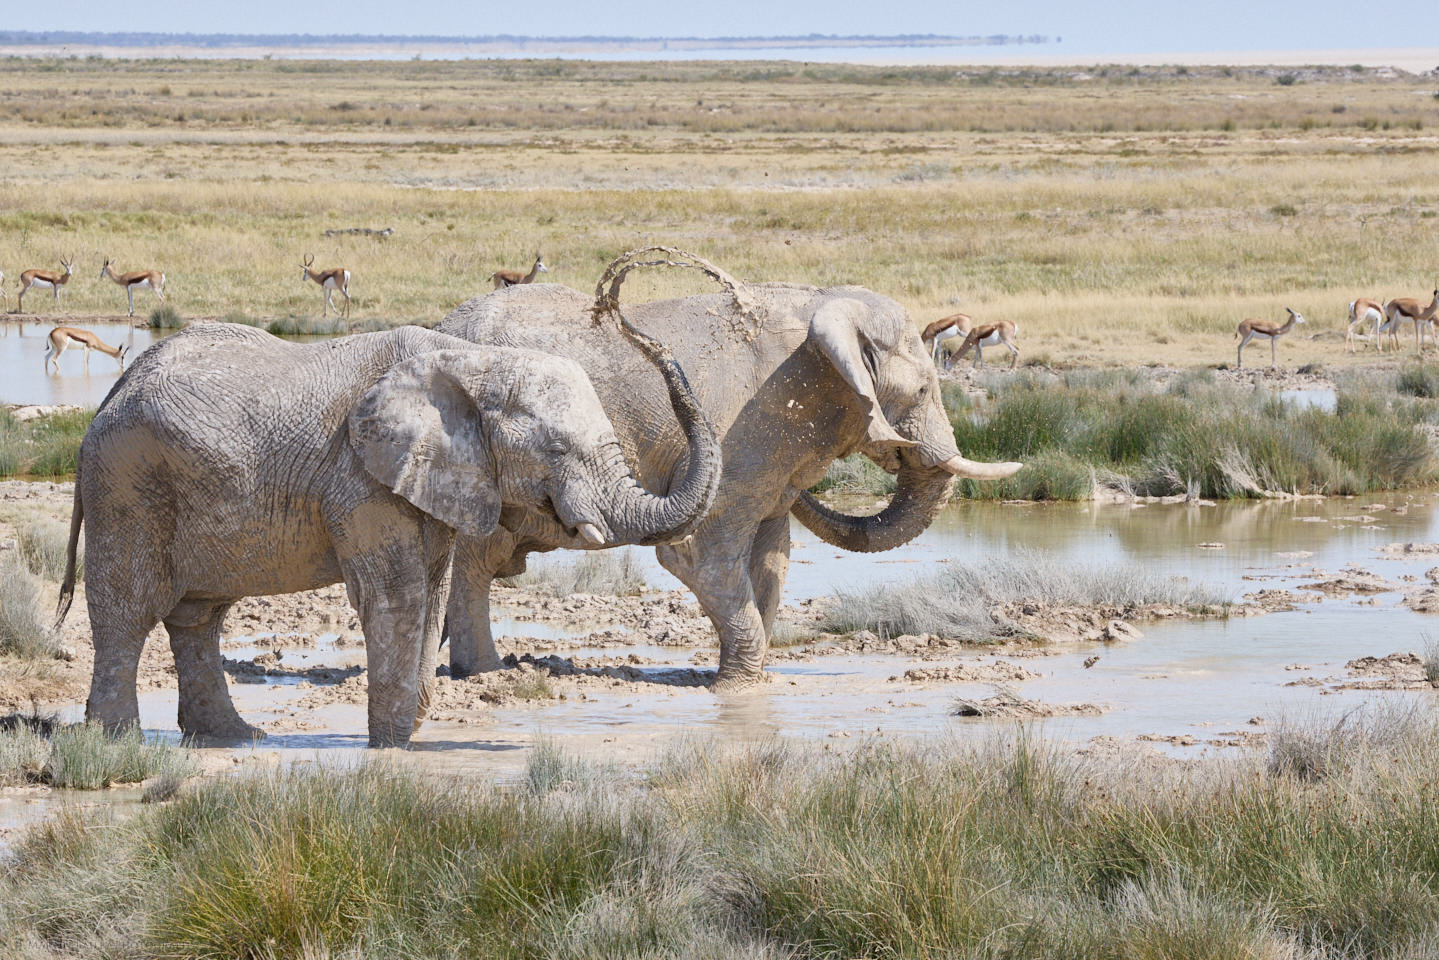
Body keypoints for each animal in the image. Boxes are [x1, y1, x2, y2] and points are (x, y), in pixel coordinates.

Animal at [58, 319, 719, 748]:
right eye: (556, 449)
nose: (644, 335)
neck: (473, 359)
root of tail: (113, 392)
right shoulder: (361, 478)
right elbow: (396, 596)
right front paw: (393, 746)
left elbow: (432, 592)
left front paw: (409, 733)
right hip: (128, 484)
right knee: (128, 610)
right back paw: (118, 747)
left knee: (200, 616)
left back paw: (236, 738)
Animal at [437, 273, 1024, 687]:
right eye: (924, 391)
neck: (825, 304)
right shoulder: (747, 433)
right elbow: (701, 555)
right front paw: (735, 687)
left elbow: (772, 557)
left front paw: (752, 683)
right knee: (475, 560)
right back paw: (485, 675)